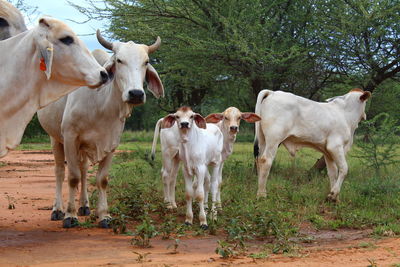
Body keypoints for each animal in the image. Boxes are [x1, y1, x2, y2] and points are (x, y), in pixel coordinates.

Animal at [36, 30, 163, 228]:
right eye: (119, 60)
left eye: (146, 61)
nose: (136, 94)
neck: (100, 104)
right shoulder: (70, 137)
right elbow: (72, 177)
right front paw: (70, 215)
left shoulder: (111, 143)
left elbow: (101, 179)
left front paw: (104, 215)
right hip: (55, 138)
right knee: (59, 171)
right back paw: (58, 209)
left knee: (83, 170)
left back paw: (84, 206)